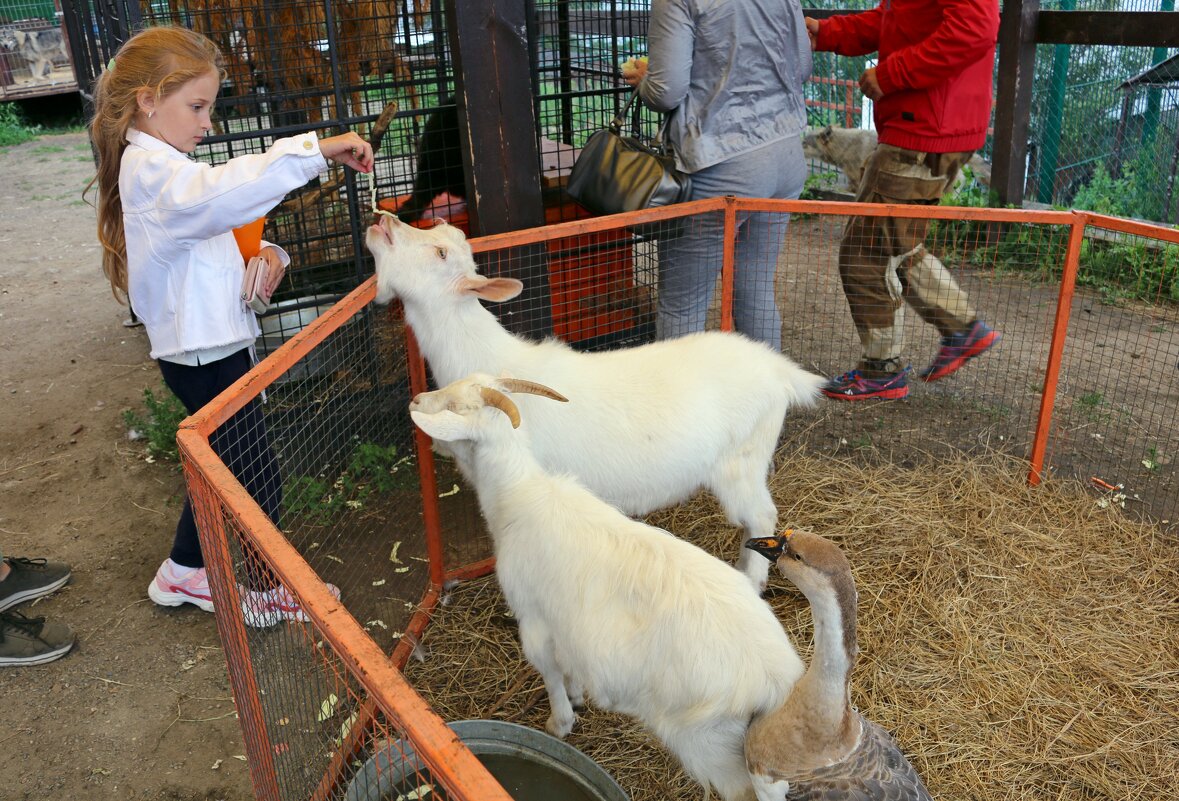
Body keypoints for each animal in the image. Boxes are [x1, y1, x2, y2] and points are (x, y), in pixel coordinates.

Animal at [365, 215, 820, 592]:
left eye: (440, 252)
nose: (381, 220)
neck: (497, 360)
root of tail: (779, 370)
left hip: (742, 462)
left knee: (761, 514)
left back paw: (753, 580)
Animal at [410, 375, 806, 801]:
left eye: (454, 405)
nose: (415, 400)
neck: (518, 496)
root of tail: (776, 678)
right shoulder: (565, 623)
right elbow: (568, 665)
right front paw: (578, 696)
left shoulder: (533, 618)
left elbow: (549, 672)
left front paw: (559, 723)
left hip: (708, 740)